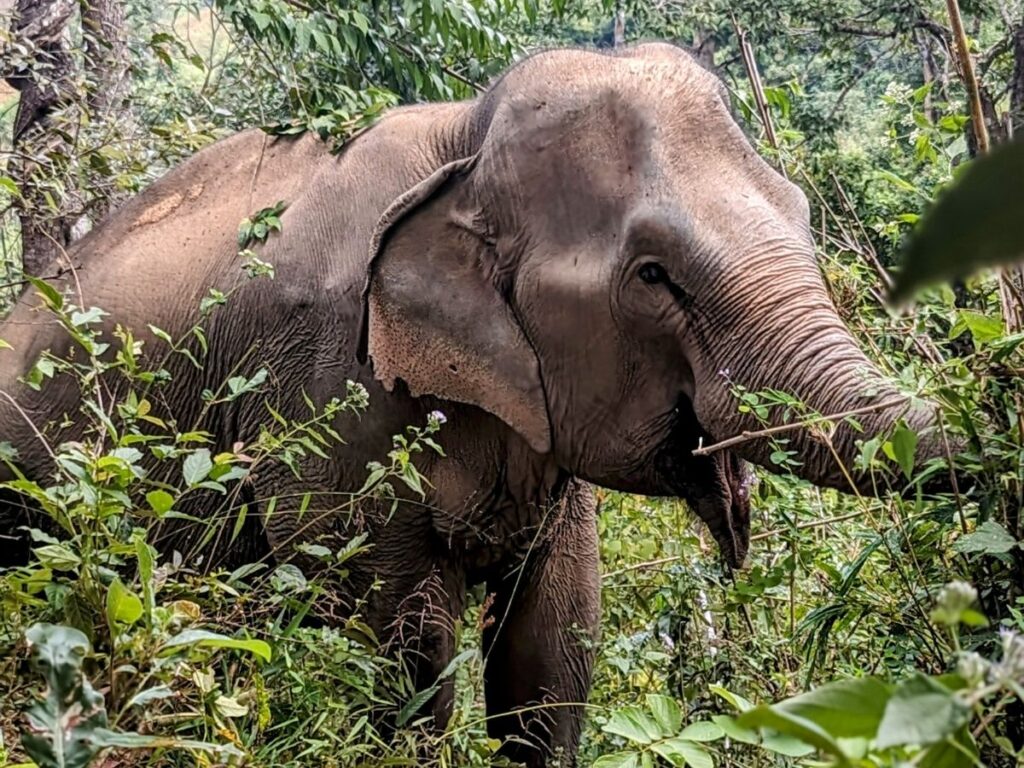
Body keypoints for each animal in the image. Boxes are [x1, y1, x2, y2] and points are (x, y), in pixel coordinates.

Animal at [0, 43, 952, 766]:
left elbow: (553, 646)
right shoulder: (326, 389)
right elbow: (398, 647)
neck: (464, 141)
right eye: (653, 275)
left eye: (800, 210)